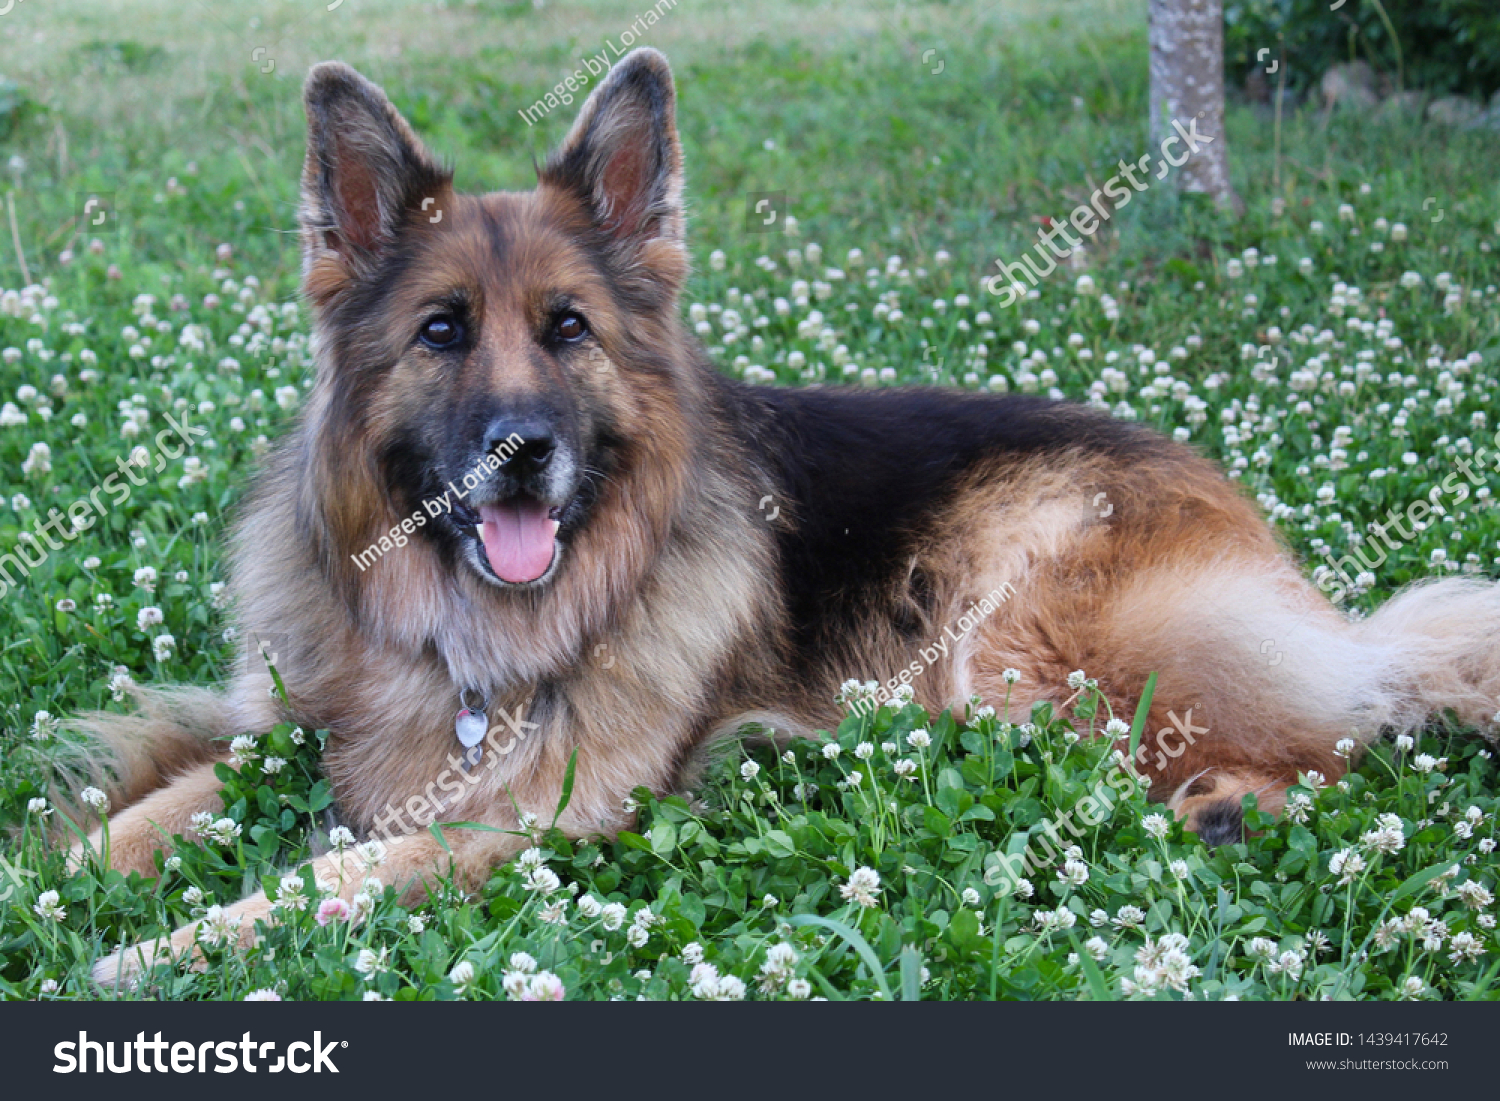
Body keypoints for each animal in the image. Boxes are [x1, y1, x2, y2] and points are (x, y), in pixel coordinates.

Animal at [82, 49, 1500, 984]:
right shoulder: (294, 726)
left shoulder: (532, 813)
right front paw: (73, 870)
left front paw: (168, 951)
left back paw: (1229, 805)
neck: (468, 625)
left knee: (1339, 729)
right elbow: (147, 814)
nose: (523, 453)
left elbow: (333, 876)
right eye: (441, 332)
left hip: (1017, 631)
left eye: (569, 330)